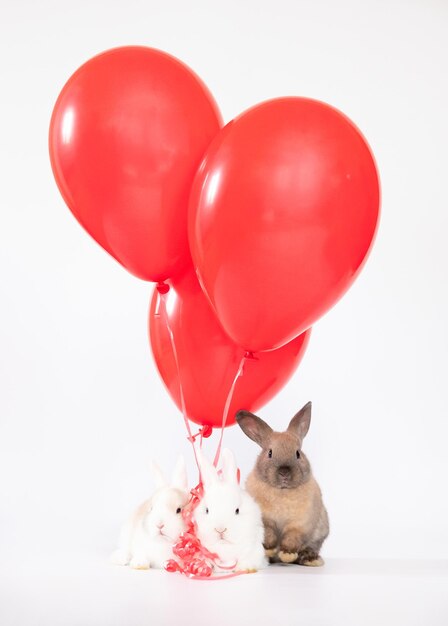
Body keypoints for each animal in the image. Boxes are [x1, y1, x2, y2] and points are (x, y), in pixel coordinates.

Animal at [234, 400, 328, 564]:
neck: (282, 491)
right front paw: (269, 550)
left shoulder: (299, 524)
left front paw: (287, 554)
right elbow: (269, 534)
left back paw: (310, 559)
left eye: (298, 453)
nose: (284, 472)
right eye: (270, 453)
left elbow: (291, 538)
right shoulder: (265, 521)